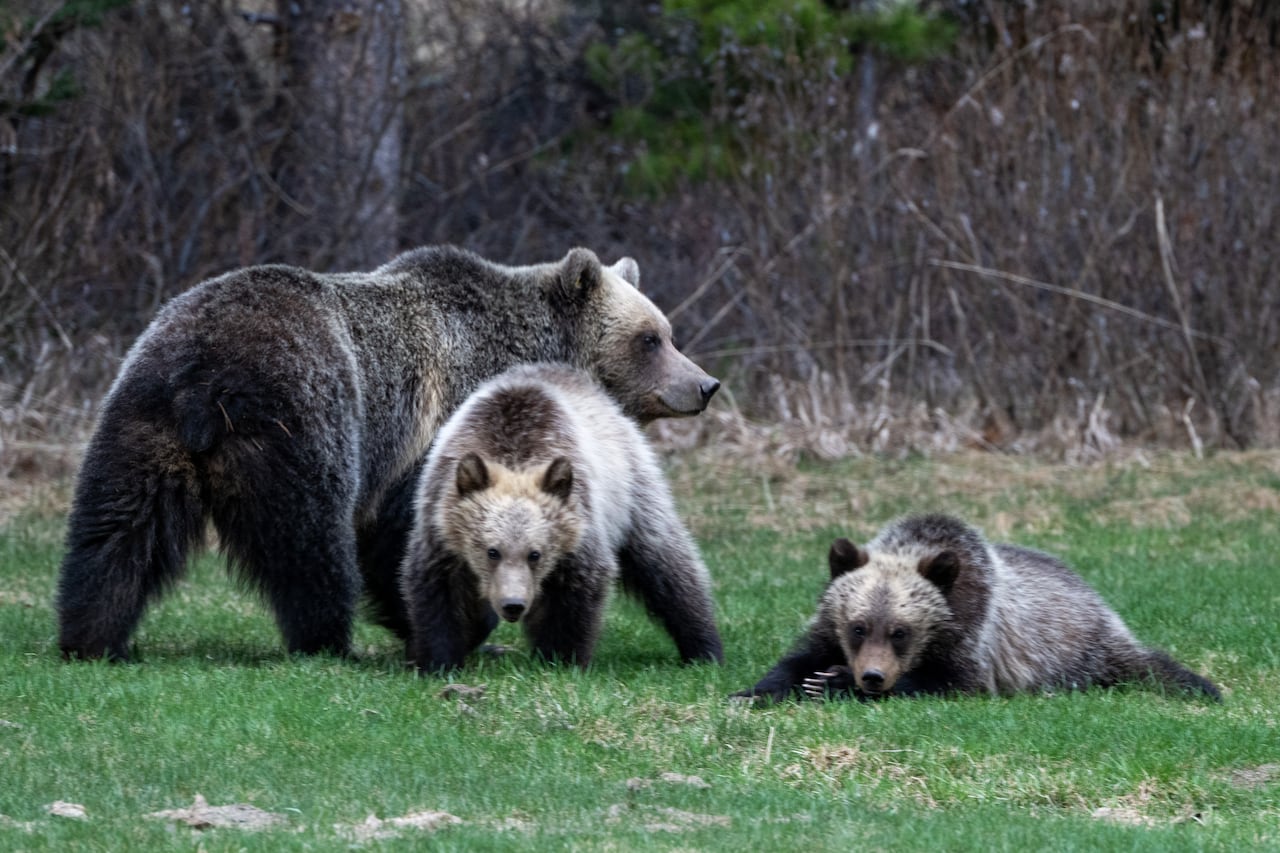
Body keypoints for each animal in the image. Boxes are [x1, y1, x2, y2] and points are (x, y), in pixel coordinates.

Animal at [400, 362, 723, 671]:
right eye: (492, 551)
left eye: (535, 554)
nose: (513, 605)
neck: (513, 455)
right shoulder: (440, 524)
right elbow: (437, 592)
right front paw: (438, 660)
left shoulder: (579, 527)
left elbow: (577, 594)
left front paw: (560, 658)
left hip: (632, 489)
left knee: (667, 563)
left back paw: (704, 647)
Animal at [733, 514, 1220, 703]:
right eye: (858, 626)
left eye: (901, 631)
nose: (871, 677)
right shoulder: (828, 622)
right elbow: (798, 657)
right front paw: (757, 691)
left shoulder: (971, 634)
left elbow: (954, 682)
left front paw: (831, 682)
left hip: (1079, 651)